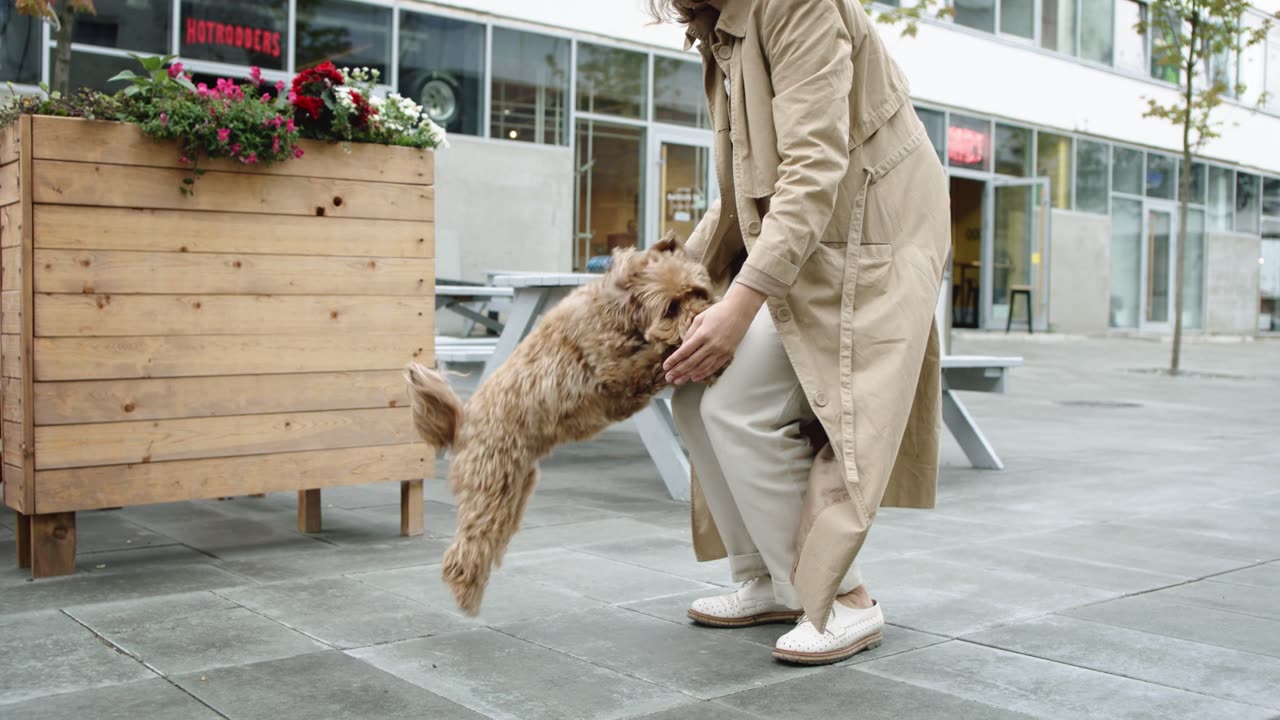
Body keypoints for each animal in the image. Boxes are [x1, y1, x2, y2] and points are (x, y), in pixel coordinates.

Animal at [404, 234, 716, 609]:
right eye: (671, 307)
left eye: (698, 291)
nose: (703, 316)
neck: (620, 310)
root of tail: (462, 423)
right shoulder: (616, 374)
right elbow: (655, 359)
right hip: (492, 484)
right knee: (465, 549)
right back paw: (467, 594)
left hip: (515, 490)